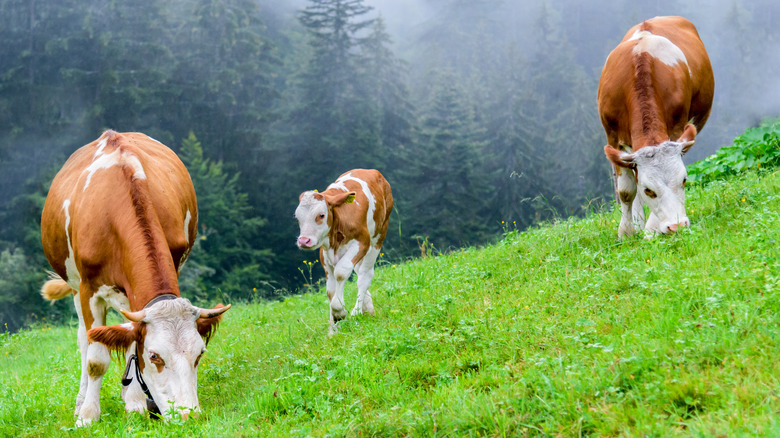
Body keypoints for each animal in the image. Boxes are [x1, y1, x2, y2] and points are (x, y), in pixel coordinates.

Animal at [40, 130, 230, 426]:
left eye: (199, 353)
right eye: (154, 356)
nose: (187, 415)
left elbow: (130, 340)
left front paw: (136, 404)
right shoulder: (89, 290)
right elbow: (96, 358)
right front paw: (88, 416)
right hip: (75, 287)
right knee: (84, 339)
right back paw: (81, 401)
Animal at [295, 169, 393, 335]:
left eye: (321, 215)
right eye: (297, 218)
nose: (304, 241)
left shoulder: (362, 242)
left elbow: (341, 272)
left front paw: (339, 312)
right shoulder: (324, 250)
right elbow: (330, 291)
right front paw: (333, 328)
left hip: (378, 237)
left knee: (365, 275)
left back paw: (357, 312)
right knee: (359, 272)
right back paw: (367, 307)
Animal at [597, 16, 714, 238]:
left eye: (684, 180)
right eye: (649, 190)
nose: (677, 226)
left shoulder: (676, 129)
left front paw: (651, 229)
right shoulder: (613, 137)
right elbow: (626, 190)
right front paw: (627, 232)